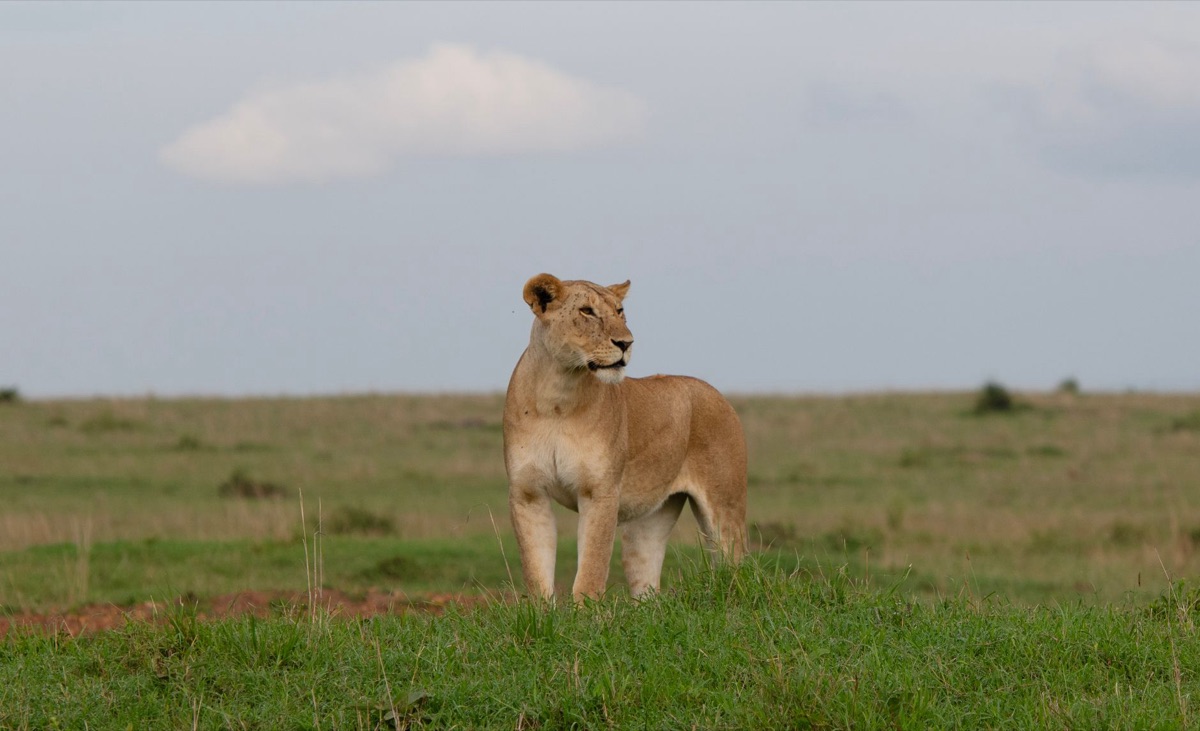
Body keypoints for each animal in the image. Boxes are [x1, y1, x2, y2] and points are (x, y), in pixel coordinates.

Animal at [503, 273, 747, 601]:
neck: (557, 394)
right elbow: (536, 571)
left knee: (736, 563)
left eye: (619, 311)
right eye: (587, 311)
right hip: (648, 522)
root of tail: (716, 393)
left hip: (725, 507)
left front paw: (585, 612)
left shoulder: (600, 493)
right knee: (647, 581)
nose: (626, 343)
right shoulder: (527, 494)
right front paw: (542, 611)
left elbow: (591, 568)